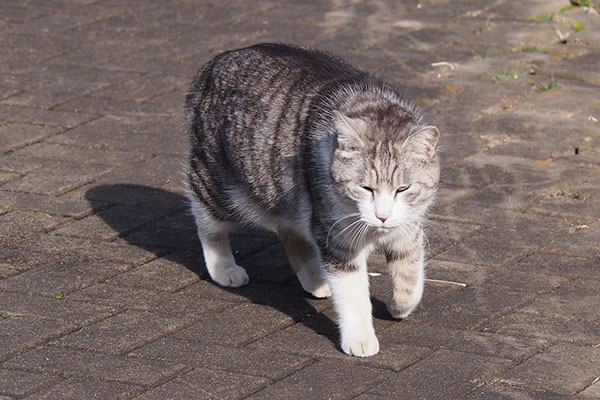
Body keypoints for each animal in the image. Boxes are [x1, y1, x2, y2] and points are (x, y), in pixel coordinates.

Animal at [185, 43, 438, 356]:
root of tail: (214, 62)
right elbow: (352, 293)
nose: (382, 216)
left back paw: (315, 279)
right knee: (207, 219)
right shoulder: (337, 237)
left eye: (403, 188)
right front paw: (359, 337)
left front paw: (399, 306)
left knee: (290, 230)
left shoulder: (408, 228)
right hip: (222, 184)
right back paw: (223, 267)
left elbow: (410, 274)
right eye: (365, 188)